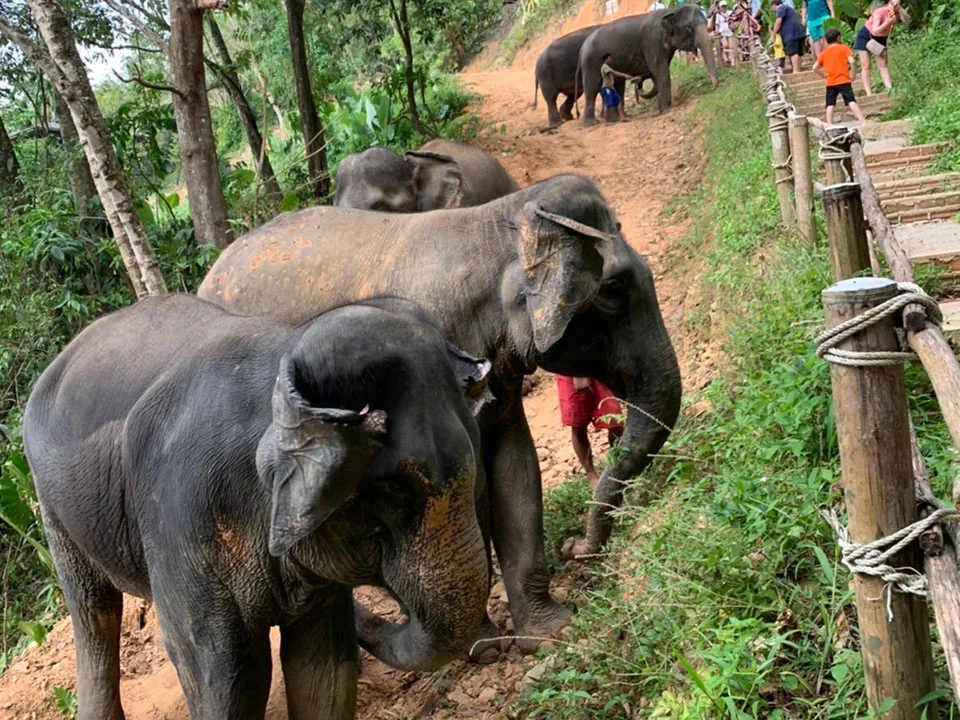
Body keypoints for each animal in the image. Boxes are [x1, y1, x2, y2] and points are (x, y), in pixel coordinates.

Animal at [23, 295, 492, 720]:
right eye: (394, 487)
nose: (369, 617)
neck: (283, 353)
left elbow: (324, 671)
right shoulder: (181, 512)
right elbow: (227, 678)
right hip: (50, 505)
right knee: (93, 611)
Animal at [198, 173, 683, 658]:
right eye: (613, 289)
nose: (576, 547)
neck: (495, 222)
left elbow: (516, 467)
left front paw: (551, 633)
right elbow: (466, 494)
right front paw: (484, 649)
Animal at [579, 3, 719, 123]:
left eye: (706, 22)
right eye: (689, 28)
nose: (715, 87)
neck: (669, 11)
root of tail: (583, 47)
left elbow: (657, 72)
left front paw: (660, 109)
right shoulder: (652, 42)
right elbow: (660, 71)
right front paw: (667, 110)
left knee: (617, 85)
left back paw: (616, 118)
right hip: (591, 62)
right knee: (592, 88)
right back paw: (591, 123)